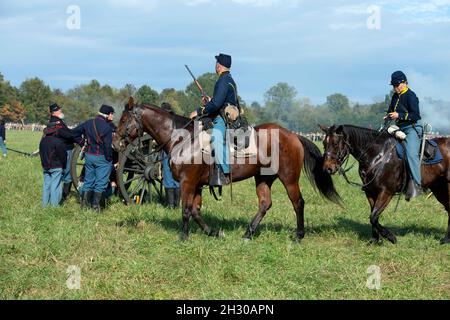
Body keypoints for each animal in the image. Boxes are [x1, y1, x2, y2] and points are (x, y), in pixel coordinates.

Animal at [113, 100, 342, 240]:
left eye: (124, 119)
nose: (115, 143)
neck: (182, 139)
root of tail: (293, 135)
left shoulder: (188, 183)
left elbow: (186, 210)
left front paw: (183, 237)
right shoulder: (197, 185)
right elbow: (195, 210)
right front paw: (214, 232)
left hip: (289, 179)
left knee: (298, 203)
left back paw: (298, 236)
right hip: (263, 178)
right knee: (265, 204)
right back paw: (248, 234)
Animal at [320, 124, 450, 244]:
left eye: (335, 143)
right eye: (324, 143)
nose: (328, 168)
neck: (377, 156)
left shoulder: (386, 192)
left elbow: (373, 217)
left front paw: (390, 236)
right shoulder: (370, 192)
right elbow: (373, 215)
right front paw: (374, 240)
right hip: (439, 188)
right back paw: (446, 239)